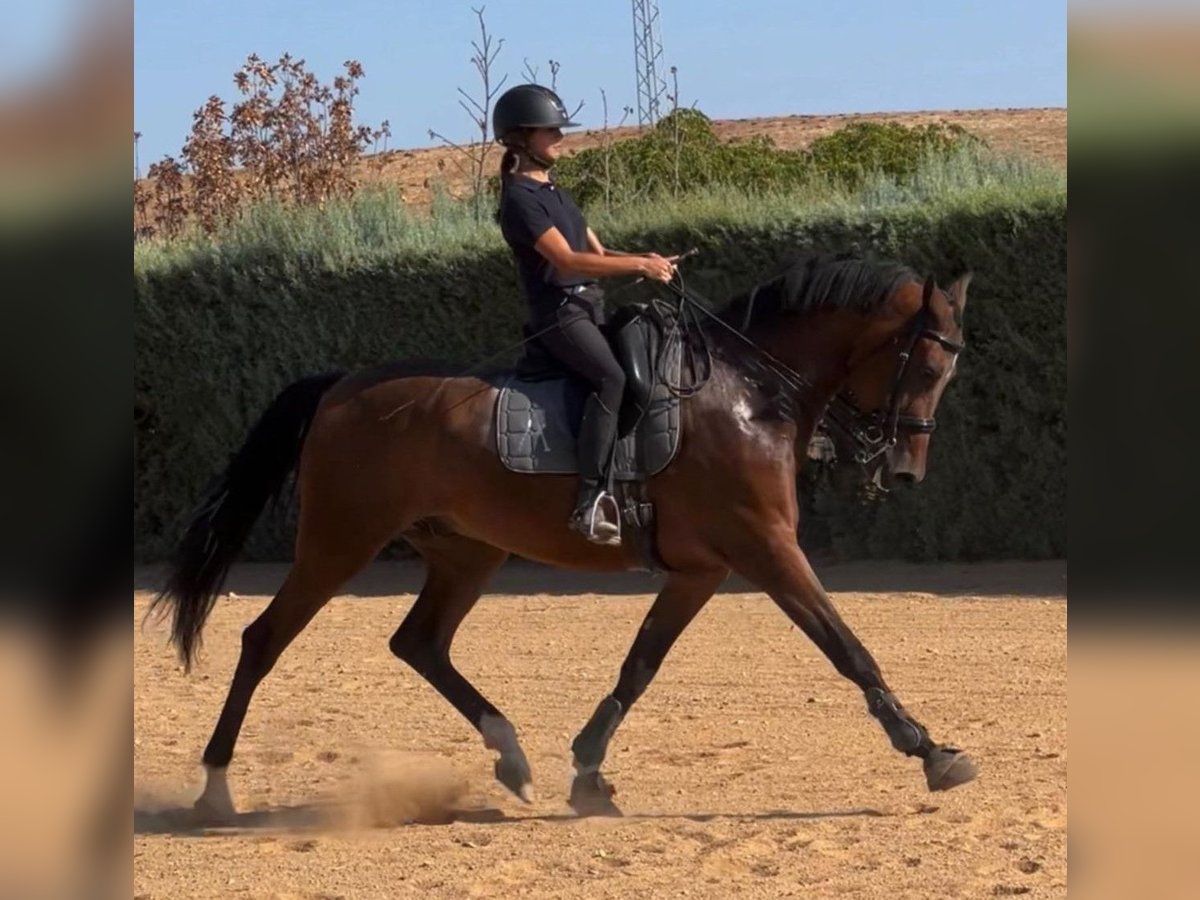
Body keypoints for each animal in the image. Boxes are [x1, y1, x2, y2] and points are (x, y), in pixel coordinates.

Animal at [150, 250, 974, 820]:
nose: (905, 469)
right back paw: (215, 790)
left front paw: (587, 773)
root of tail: (341, 386)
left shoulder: (702, 570)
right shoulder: (766, 548)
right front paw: (931, 751)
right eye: (927, 365)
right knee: (263, 640)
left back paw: (512, 757)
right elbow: (847, 647)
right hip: (339, 544)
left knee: (419, 642)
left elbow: (639, 666)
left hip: (466, 552)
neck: (748, 390)